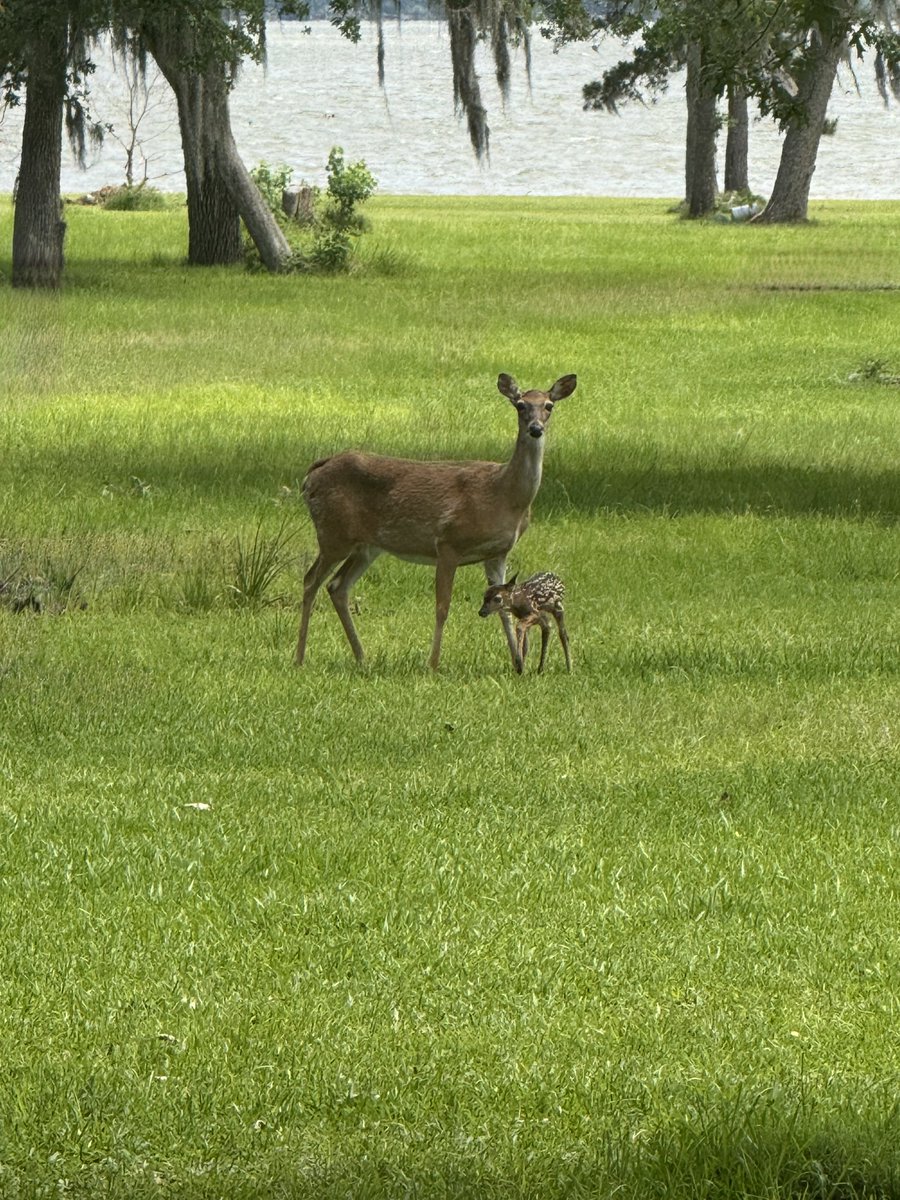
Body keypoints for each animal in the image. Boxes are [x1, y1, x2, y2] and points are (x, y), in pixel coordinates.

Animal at [295, 372, 577, 671]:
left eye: (549, 405)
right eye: (520, 405)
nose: (536, 429)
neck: (504, 496)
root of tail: (312, 474)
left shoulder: (498, 553)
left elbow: (504, 607)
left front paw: (518, 664)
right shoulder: (448, 542)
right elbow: (442, 607)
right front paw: (433, 664)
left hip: (366, 546)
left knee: (337, 586)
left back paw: (362, 657)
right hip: (332, 533)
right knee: (310, 580)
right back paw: (299, 657)